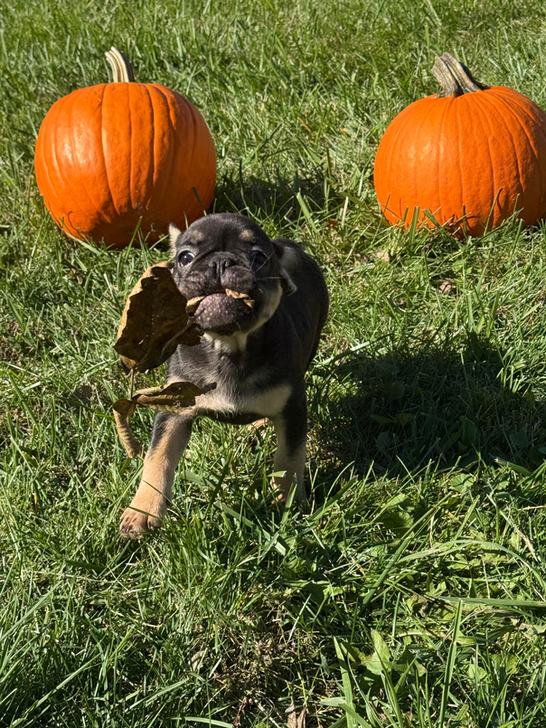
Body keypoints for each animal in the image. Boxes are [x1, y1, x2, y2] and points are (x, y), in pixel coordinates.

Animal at [120, 213, 329, 538]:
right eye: (184, 257)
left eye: (258, 258)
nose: (220, 262)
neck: (227, 346)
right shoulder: (174, 410)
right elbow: (157, 456)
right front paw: (142, 510)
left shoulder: (293, 407)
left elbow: (289, 456)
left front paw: (287, 500)